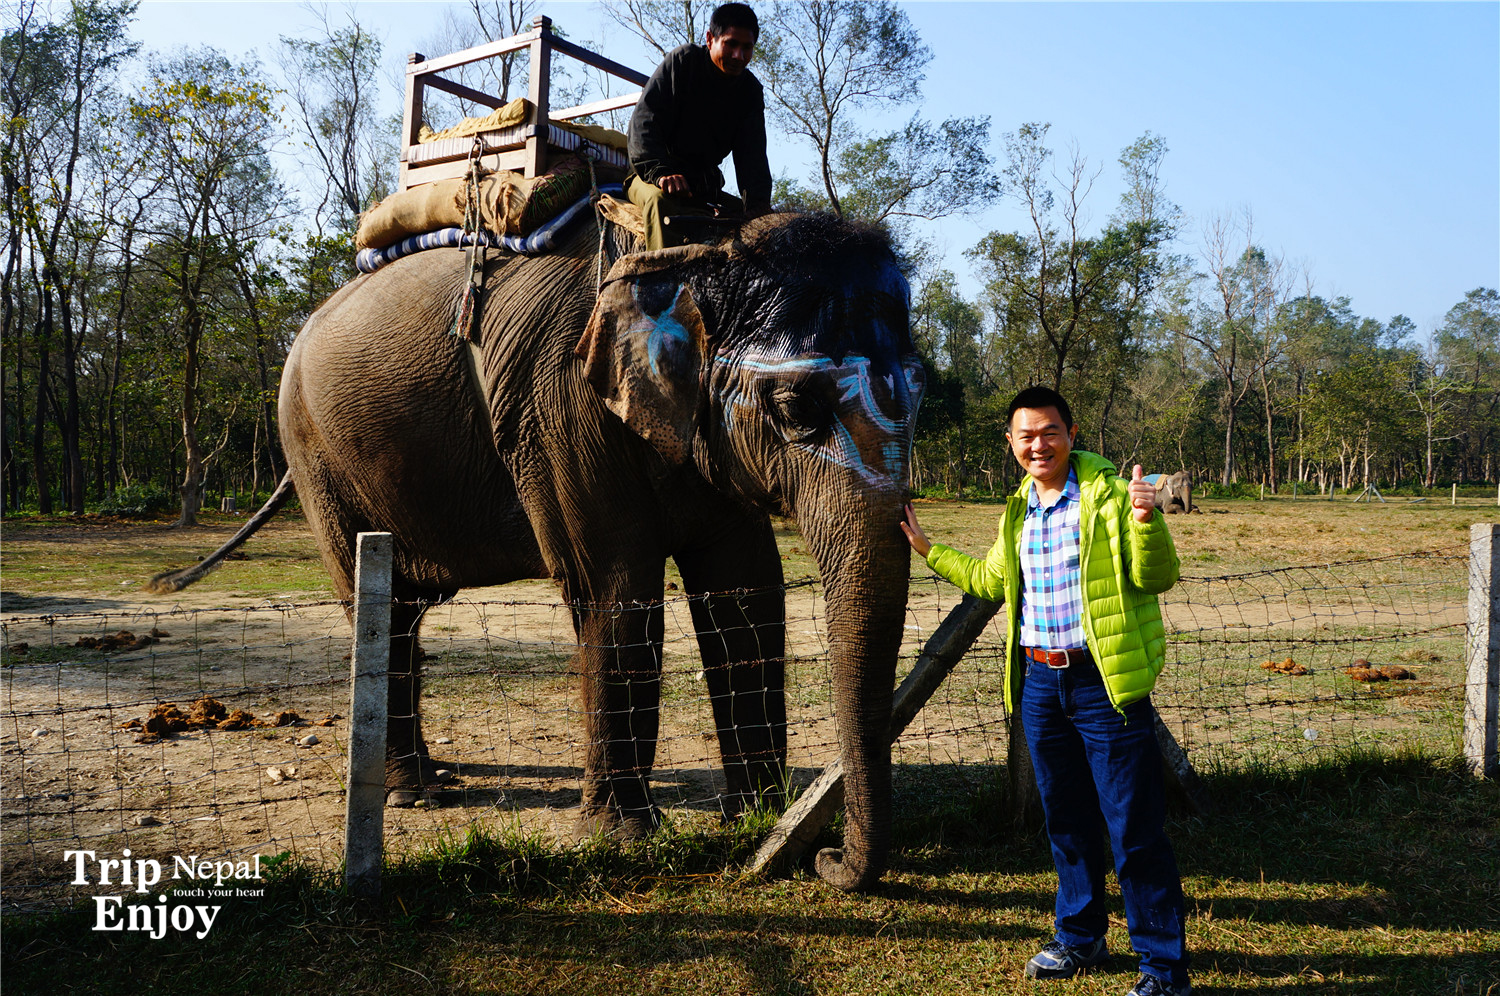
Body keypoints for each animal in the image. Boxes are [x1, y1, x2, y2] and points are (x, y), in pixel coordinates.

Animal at [152, 211, 924, 894]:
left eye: (922, 396)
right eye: (795, 409)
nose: (827, 861)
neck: (696, 248)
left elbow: (746, 590)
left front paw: (762, 815)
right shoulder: (562, 403)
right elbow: (616, 587)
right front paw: (625, 841)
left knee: (406, 609)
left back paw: (429, 779)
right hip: (316, 454)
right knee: (380, 602)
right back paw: (413, 795)